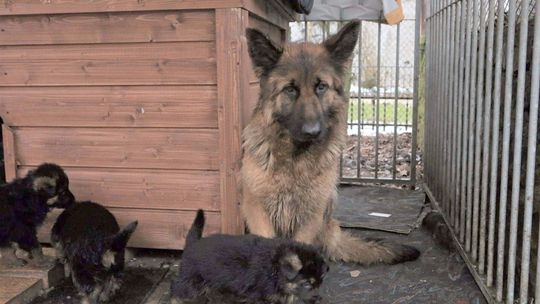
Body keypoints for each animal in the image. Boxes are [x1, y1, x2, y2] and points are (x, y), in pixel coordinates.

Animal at [171, 210, 330, 302]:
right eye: (307, 283)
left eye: (321, 281)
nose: (319, 299)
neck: (275, 269)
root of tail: (192, 244)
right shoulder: (258, 297)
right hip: (191, 283)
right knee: (177, 294)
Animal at [242, 20, 422, 264]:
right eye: (290, 89)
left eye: (321, 87)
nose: (312, 132)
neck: (295, 160)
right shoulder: (257, 210)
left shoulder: (312, 215)